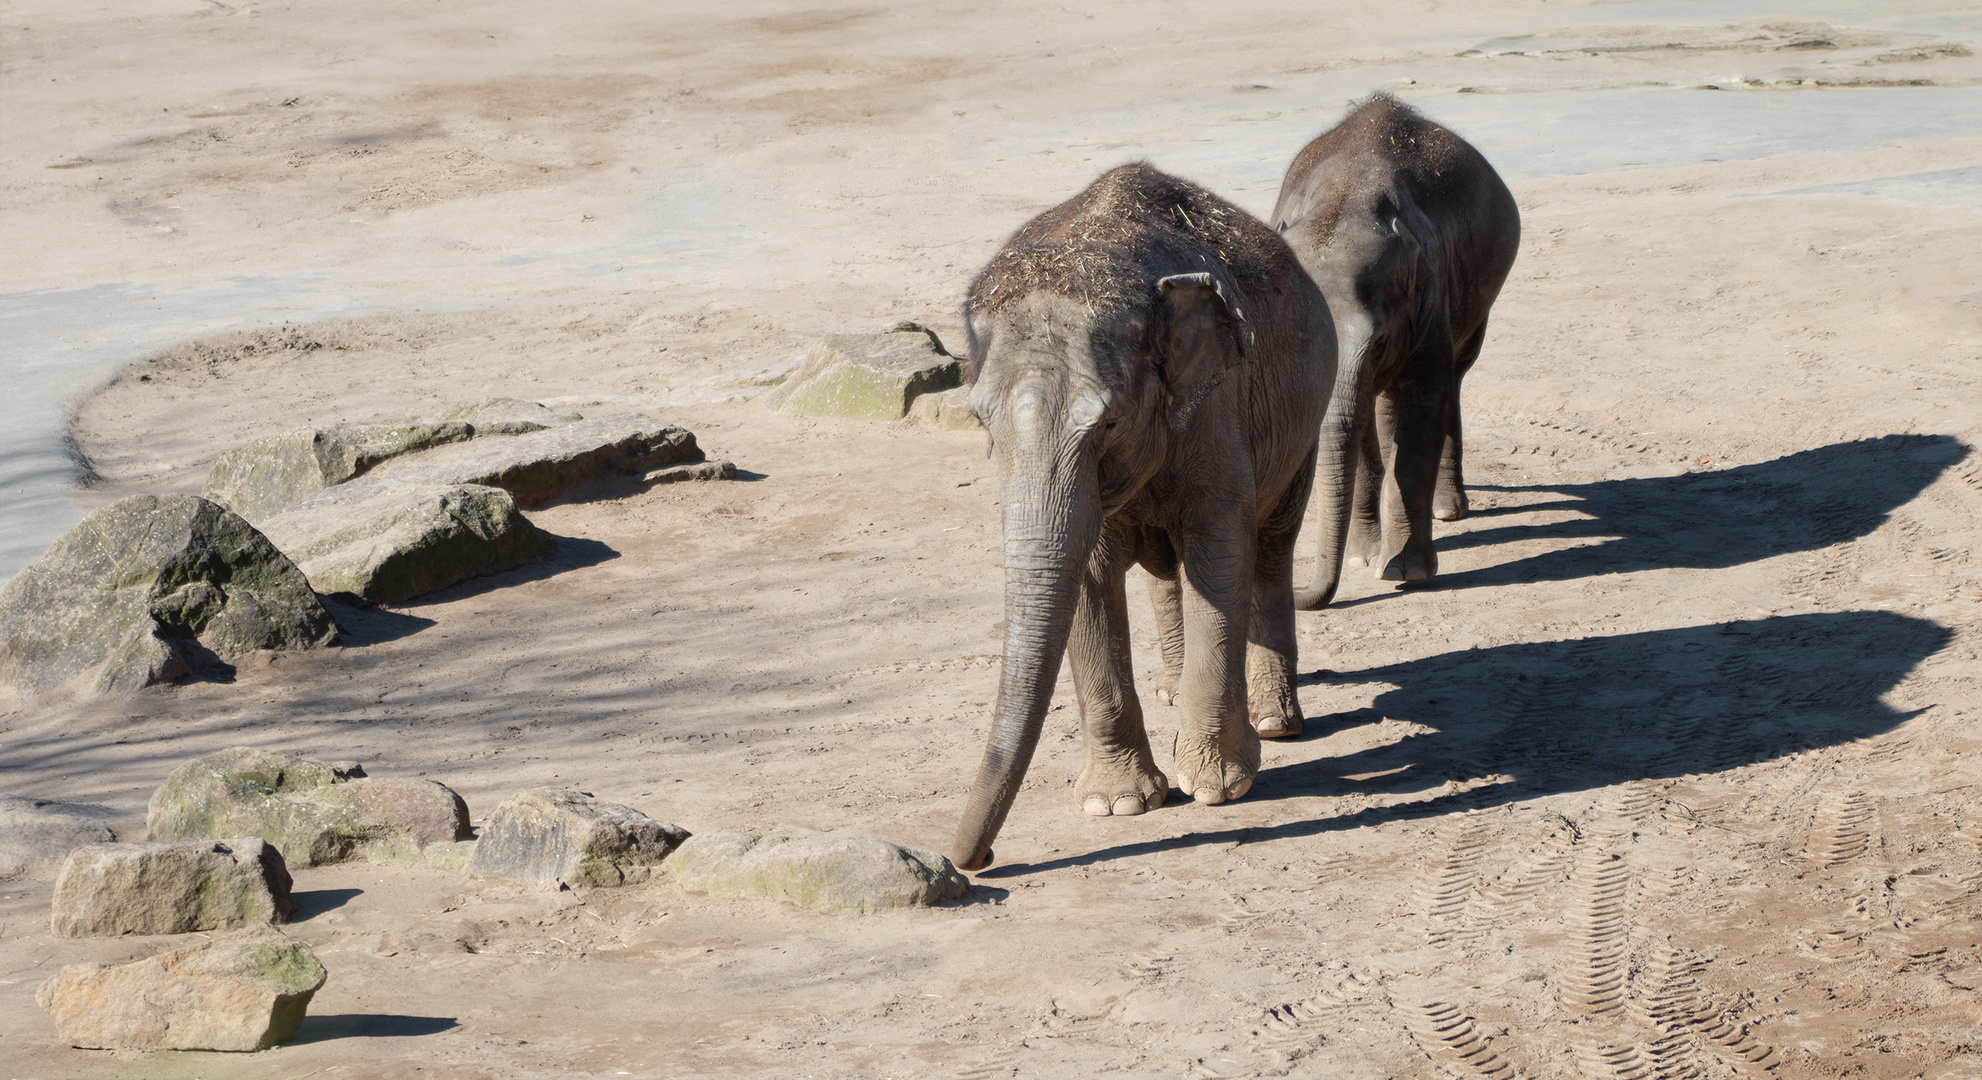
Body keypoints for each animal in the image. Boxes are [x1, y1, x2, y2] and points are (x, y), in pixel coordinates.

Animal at [943, 162, 1331, 867]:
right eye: (981, 422)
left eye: (1109, 422)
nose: (973, 861)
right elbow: (1087, 576)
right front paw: (1120, 804)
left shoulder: (1216, 406)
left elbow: (1219, 553)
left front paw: (1216, 788)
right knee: (1168, 569)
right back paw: (1174, 693)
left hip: (1305, 421)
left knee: (1271, 544)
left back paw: (1274, 722)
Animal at [1268, 92, 1514, 606]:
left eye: (1379, 341)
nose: (1298, 591)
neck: (1346, 196)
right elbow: (1357, 421)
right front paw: (1364, 559)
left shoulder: (1430, 292)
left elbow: (1423, 405)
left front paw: (1407, 571)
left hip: (1474, 302)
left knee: (1453, 379)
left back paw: (1448, 510)